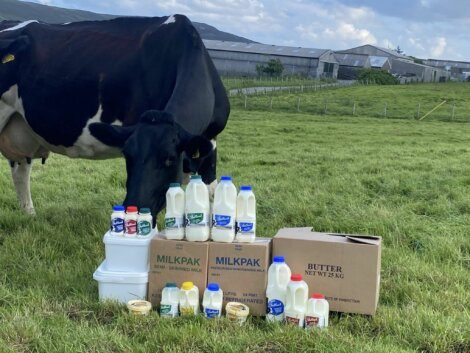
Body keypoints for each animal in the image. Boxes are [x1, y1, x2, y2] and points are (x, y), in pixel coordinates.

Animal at [0, 15, 230, 216]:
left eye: (169, 159)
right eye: (128, 156)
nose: (134, 206)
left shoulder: (210, 140)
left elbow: (209, 195)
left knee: (20, 171)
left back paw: (30, 214)